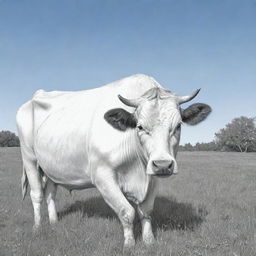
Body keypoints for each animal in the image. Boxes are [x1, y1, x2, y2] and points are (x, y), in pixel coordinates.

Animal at [16, 74, 212, 248]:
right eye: (140, 126)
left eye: (178, 126)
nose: (163, 164)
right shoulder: (103, 175)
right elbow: (126, 212)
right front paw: (129, 244)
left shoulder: (153, 178)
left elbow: (146, 211)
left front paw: (149, 241)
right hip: (29, 157)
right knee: (37, 194)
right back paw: (37, 227)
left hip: (50, 166)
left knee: (50, 193)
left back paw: (54, 222)